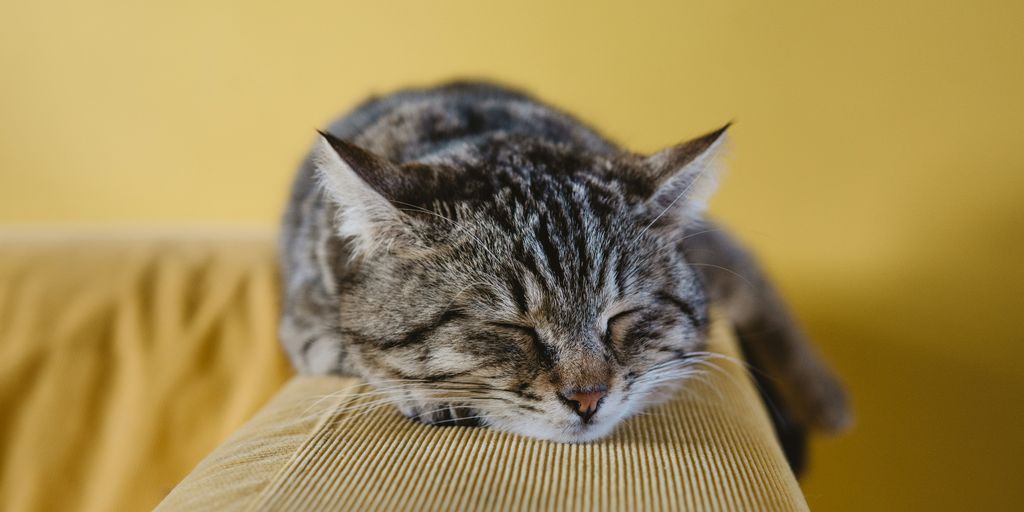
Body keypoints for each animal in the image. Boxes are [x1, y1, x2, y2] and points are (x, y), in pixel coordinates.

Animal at [280, 80, 847, 471]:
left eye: (621, 316)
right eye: (512, 328)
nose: (587, 398)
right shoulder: (305, 328)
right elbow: (357, 358)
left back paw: (825, 397)